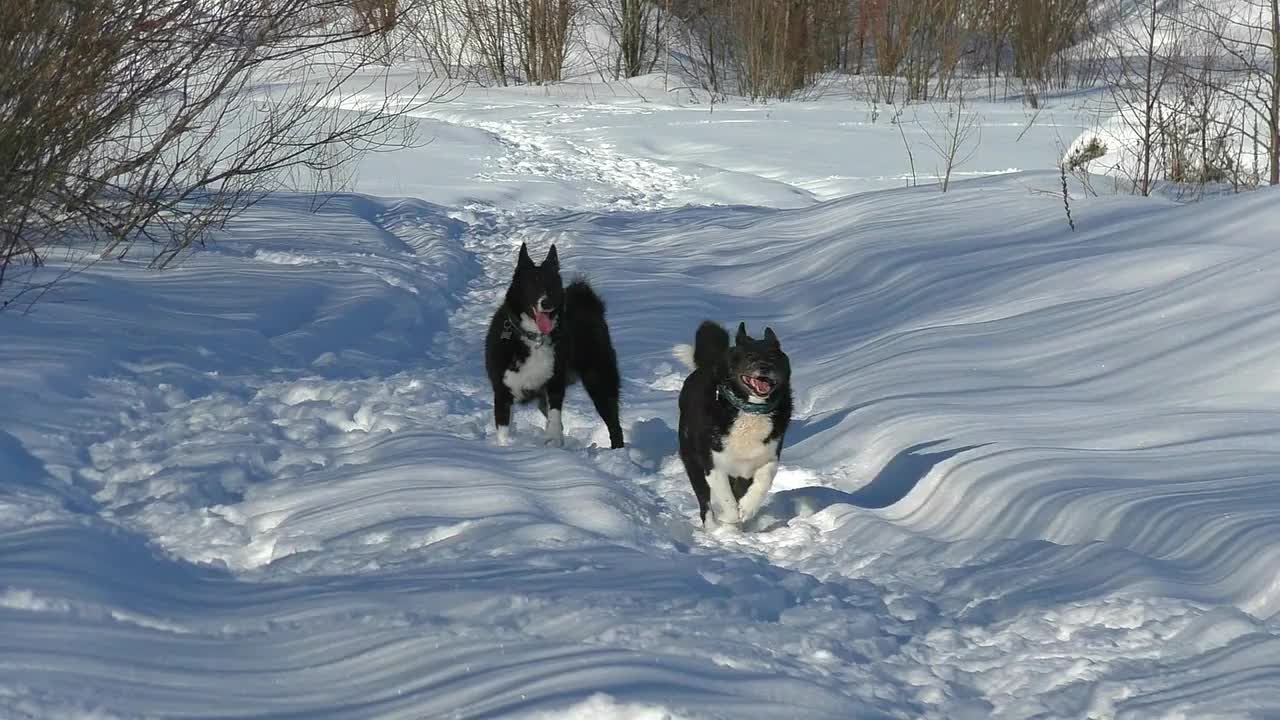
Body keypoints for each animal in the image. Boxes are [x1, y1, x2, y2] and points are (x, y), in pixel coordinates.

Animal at [483, 245, 624, 448]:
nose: (547, 302)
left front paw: (553, 439)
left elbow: (555, 416)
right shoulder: (502, 391)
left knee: (614, 423)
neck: (534, 337)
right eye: (532, 284)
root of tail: (587, 301)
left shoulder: (555, 382)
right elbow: (503, 430)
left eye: (552, 284)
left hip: (599, 378)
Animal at [675, 319, 793, 527]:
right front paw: (729, 520)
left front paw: (747, 508)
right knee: (705, 503)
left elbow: (763, 482)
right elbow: (727, 500)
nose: (765, 367)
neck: (750, 410)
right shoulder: (714, 464)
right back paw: (712, 527)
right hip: (693, 462)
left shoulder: (766, 459)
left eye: (772, 356)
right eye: (750, 356)